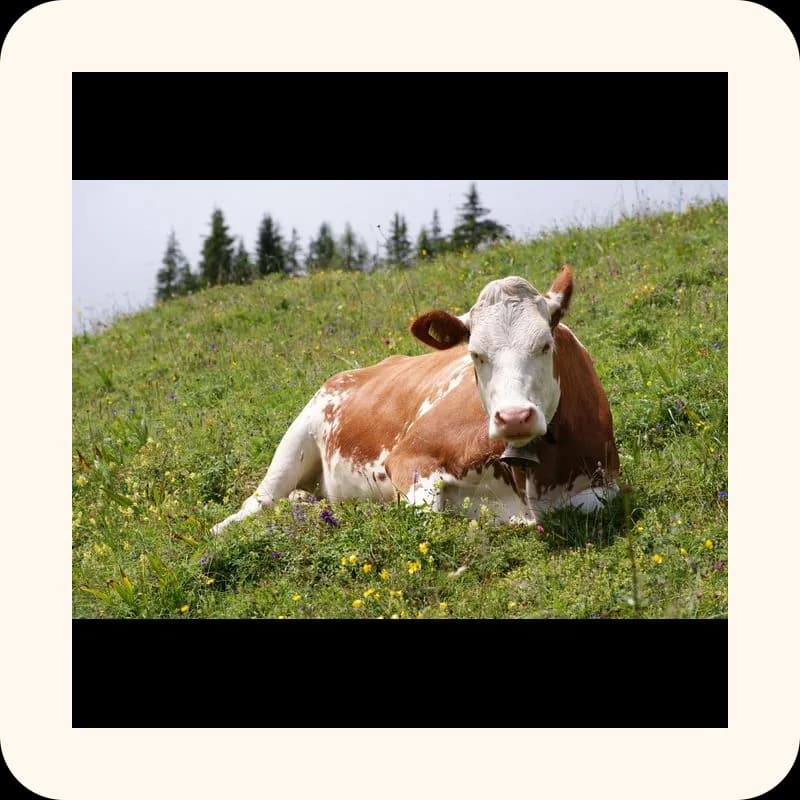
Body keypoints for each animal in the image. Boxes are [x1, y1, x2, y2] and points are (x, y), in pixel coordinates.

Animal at [211, 265, 619, 534]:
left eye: (545, 344)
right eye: (475, 354)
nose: (514, 416)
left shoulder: (607, 481)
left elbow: (594, 504)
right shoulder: (409, 457)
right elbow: (426, 513)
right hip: (297, 438)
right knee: (259, 501)